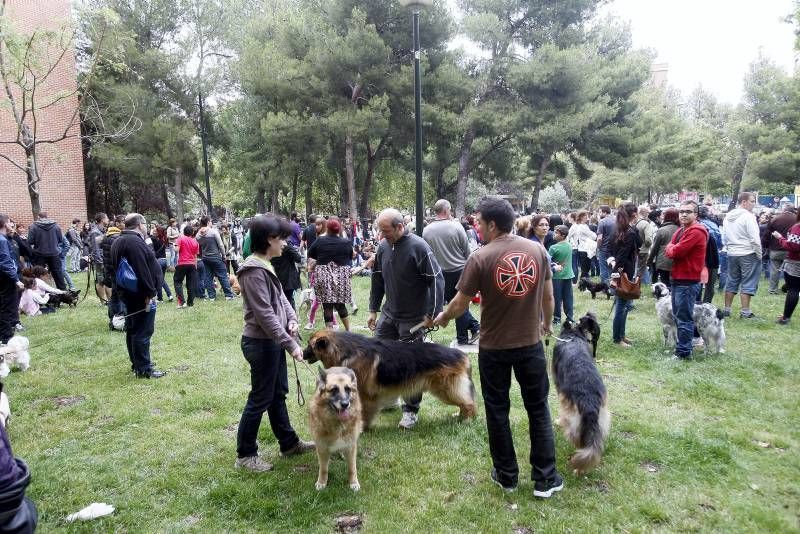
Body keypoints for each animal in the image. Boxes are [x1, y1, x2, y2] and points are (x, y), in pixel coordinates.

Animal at [302, 330, 476, 432]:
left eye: (309, 345)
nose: (301, 354)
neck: (345, 351)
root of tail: (462, 355)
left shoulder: (366, 396)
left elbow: (364, 413)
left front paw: (361, 428)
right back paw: (460, 417)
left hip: (446, 390)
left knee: (468, 403)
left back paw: (467, 420)